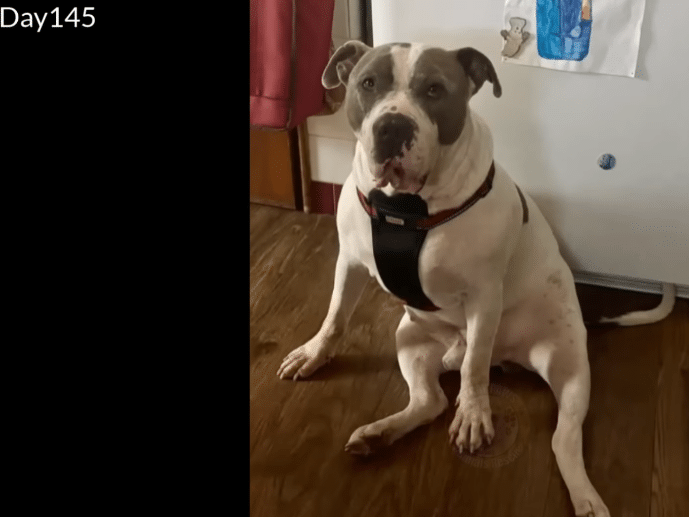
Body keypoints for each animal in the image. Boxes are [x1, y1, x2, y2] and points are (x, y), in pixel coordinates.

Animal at [277, 41, 676, 517]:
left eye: (435, 90)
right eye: (367, 83)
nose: (392, 126)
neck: (406, 207)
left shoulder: (485, 297)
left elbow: (474, 365)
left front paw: (472, 414)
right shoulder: (350, 263)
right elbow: (336, 315)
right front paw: (313, 354)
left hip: (568, 366)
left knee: (562, 437)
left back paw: (586, 497)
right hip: (409, 339)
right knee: (429, 400)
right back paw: (378, 434)